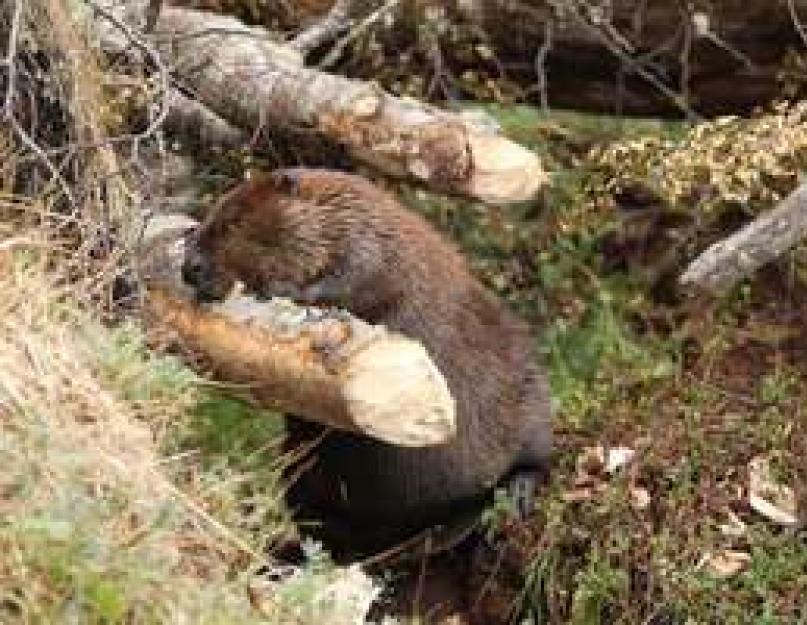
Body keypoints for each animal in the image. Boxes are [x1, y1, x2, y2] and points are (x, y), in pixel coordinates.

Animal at [181, 168, 556, 560]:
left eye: (233, 222)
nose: (189, 269)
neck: (339, 209)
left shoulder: (373, 242)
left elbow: (357, 276)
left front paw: (281, 288)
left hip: (529, 393)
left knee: (537, 456)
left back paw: (517, 493)